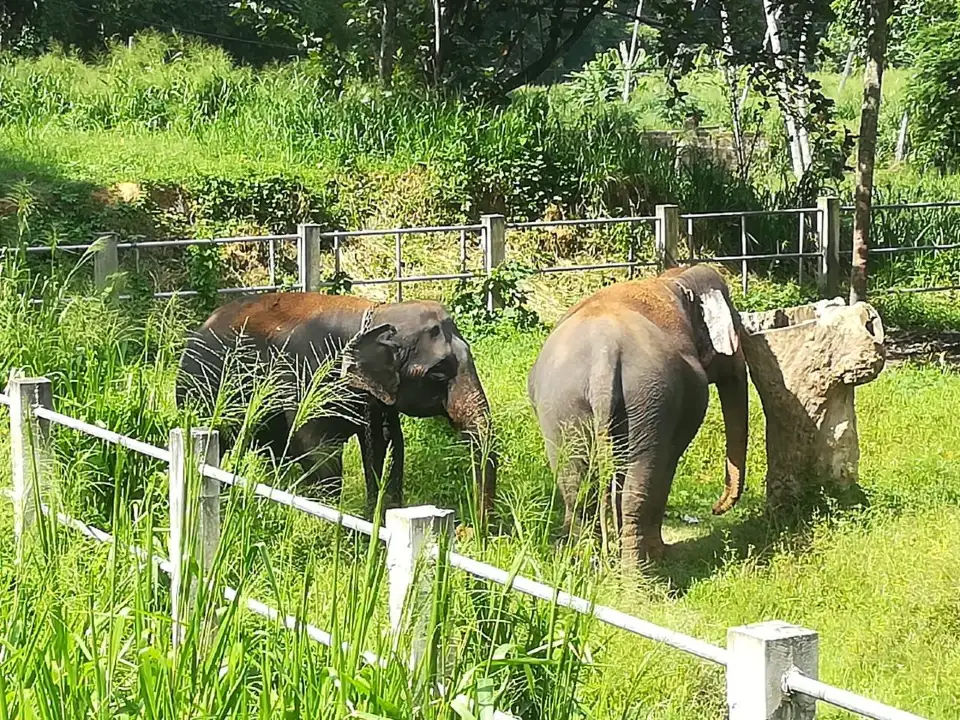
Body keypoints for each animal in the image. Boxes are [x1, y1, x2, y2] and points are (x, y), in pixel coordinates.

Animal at [175, 292, 497, 522]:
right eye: (438, 373)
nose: (474, 532)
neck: (377, 312)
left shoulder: (376, 397)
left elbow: (387, 446)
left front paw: (378, 522)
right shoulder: (308, 378)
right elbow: (316, 447)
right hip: (199, 392)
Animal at [526, 265, 748, 564]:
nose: (716, 508)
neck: (675, 278)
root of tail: (603, 354)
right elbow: (668, 463)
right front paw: (660, 552)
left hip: (564, 404)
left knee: (577, 484)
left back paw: (587, 560)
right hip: (648, 398)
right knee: (637, 483)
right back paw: (638, 565)